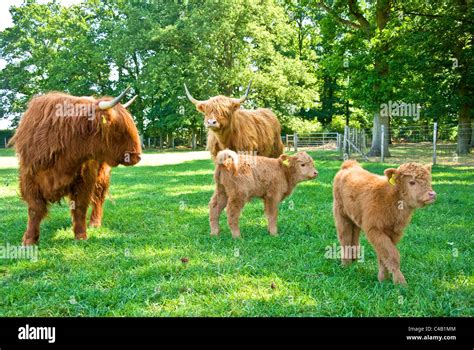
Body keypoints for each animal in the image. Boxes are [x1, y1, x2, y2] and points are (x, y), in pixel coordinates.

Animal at [9, 87, 141, 246]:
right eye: (118, 129)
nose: (137, 156)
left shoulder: (84, 179)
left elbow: (80, 207)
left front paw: (81, 235)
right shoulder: (29, 178)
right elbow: (35, 209)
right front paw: (29, 240)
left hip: (102, 174)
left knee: (99, 197)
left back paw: (95, 222)